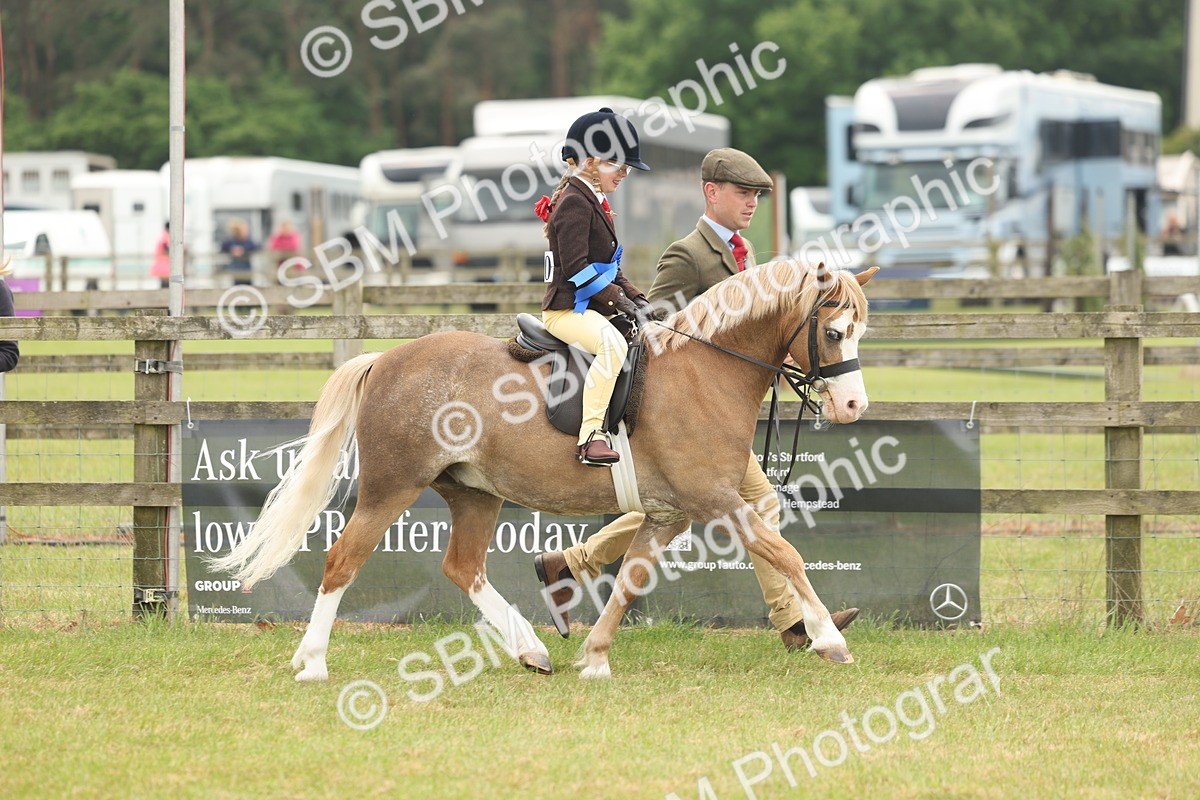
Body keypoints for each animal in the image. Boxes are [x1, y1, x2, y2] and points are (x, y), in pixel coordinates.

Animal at [212, 260, 878, 681]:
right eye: (835, 331)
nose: (852, 406)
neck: (704, 369)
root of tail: (386, 358)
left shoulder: (668, 515)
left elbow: (630, 579)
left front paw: (596, 657)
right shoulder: (716, 501)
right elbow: (784, 553)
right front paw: (830, 638)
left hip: (475, 494)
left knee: (464, 568)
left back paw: (531, 649)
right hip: (389, 489)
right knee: (342, 561)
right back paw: (313, 662)